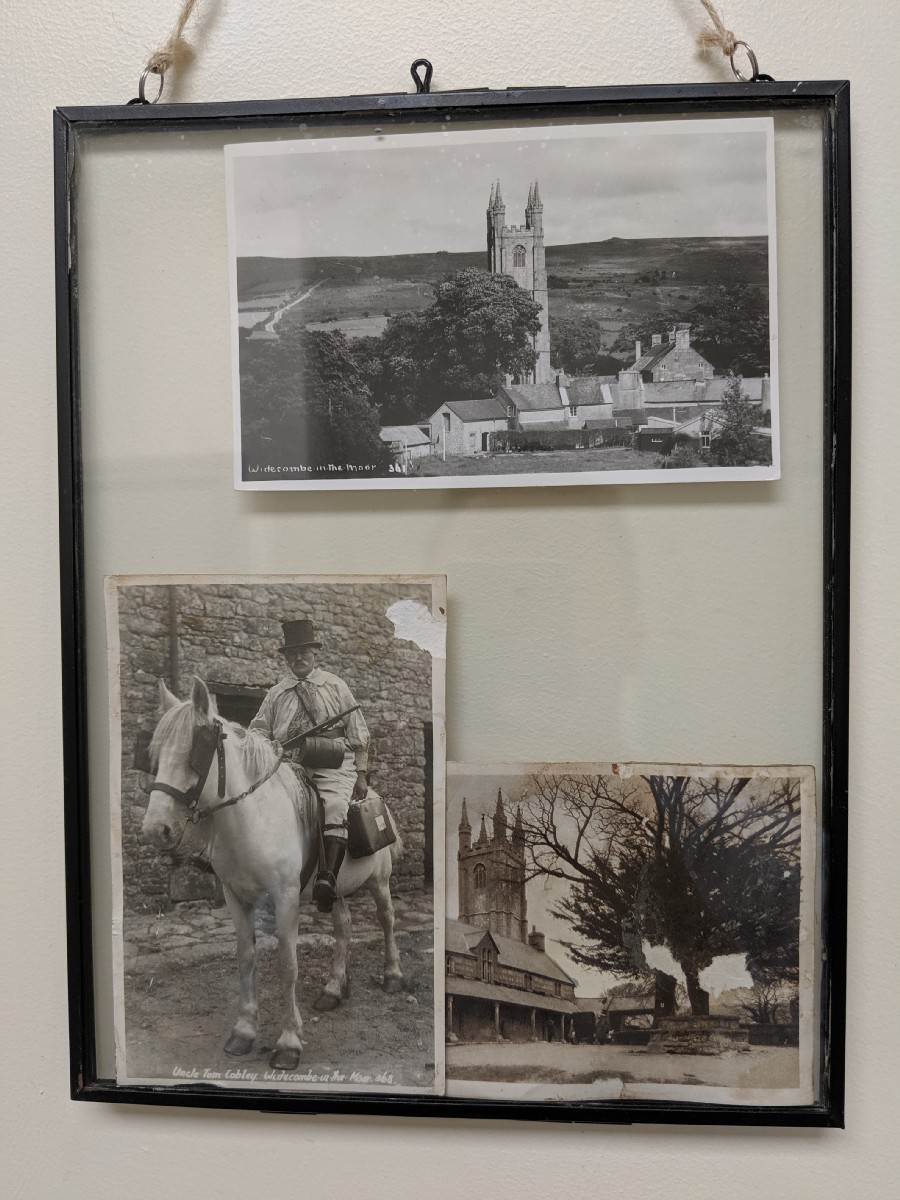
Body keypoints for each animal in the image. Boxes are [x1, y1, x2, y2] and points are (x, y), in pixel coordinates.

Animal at [141, 676, 404, 1072]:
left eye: (197, 749)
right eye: (155, 751)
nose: (157, 830)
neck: (253, 820)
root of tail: (371, 794)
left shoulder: (285, 899)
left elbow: (287, 963)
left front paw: (289, 1041)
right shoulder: (236, 898)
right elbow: (246, 957)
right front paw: (244, 1031)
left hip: (379, 881)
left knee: (386, 919)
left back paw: (392, 975)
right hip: (334, 889)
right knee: (344, 928)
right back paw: (333, 988)